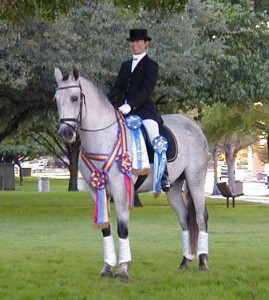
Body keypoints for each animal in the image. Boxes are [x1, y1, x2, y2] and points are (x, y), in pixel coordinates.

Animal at [53, 67, 209, 278]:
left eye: (75, 98)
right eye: (56, 99)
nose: (65, 133)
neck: (105, 137)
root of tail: (193, 125)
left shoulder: (120, 191)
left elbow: (122, 228)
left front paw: (123, 269)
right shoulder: (97, 191)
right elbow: (106, 228)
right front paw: (107, 268)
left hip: (195, 181)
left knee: (200, 217)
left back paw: (203, 261)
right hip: (174, 187)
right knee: (184, 218)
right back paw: (185, 261)